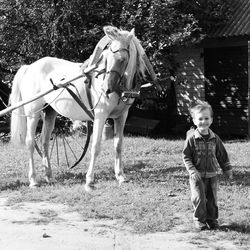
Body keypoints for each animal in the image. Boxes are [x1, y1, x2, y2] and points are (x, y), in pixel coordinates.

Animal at [10, 25, 158, 190]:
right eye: (107, 58)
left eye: (122, 59)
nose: (106, 89)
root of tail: (29, 67)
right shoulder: (100, 115)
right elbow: (96, 146)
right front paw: (89, 180)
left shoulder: (122, 116)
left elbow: (118, 145)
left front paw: (120, 176)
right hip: (32, 112)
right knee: (30, 142)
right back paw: (33, 180)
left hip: (50, 112)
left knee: (44, 141)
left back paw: (49, 176)